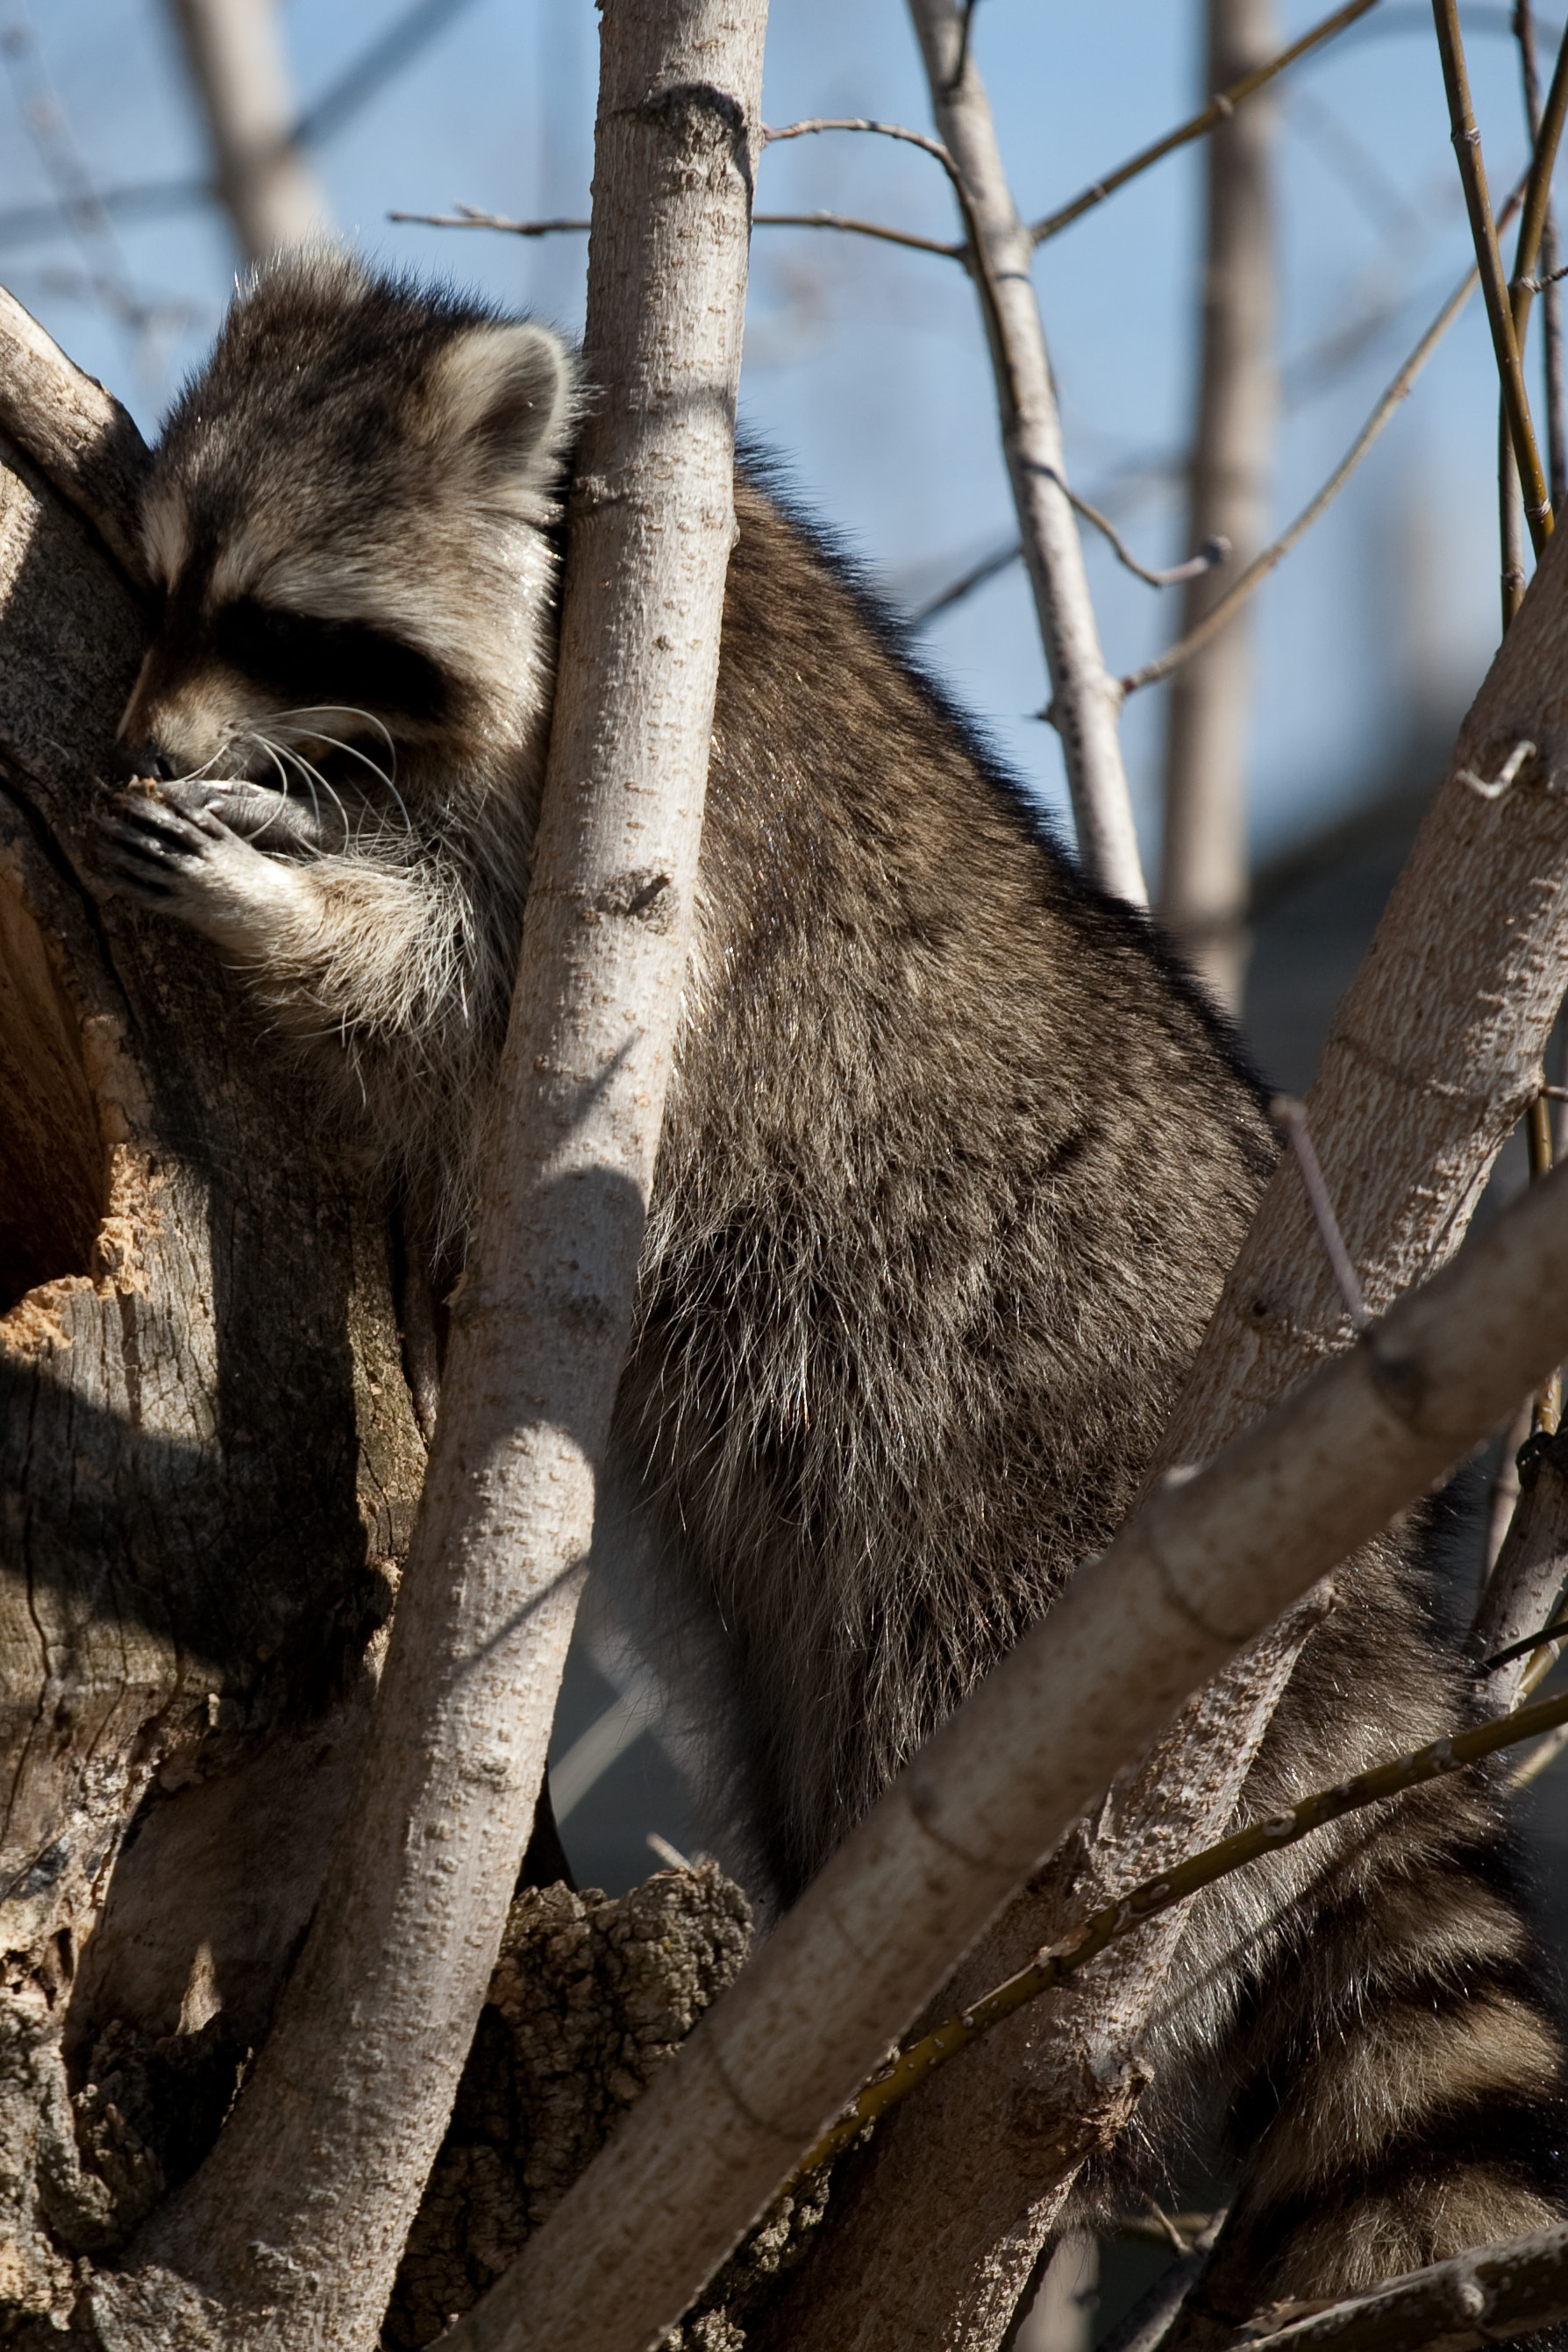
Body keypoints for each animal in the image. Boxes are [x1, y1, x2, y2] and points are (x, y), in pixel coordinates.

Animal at [95, 253, 1568, 2321]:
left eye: (283, 620)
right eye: (165, 588)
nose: (146, 749)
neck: (591, 556)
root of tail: (1361, 1598)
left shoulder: (661, 823)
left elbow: (486, 1017)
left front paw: (290, 895)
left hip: (1012, 1453)